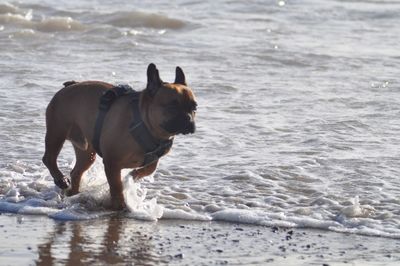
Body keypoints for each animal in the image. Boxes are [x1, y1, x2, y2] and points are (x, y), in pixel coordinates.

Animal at [42, 63, 197, 209]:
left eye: (194, 107)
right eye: (172, 106)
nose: (189, 119)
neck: (144, 123)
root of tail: (70, 85)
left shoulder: (153, 159)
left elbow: (148, 169)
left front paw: (132, 176)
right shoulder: (112, 163)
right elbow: (116, 186)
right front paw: (119, 204)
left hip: (86, 153)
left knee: (76, 172)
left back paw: (73, 193)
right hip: (57, 132)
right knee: (49, 158)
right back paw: (61, 179)